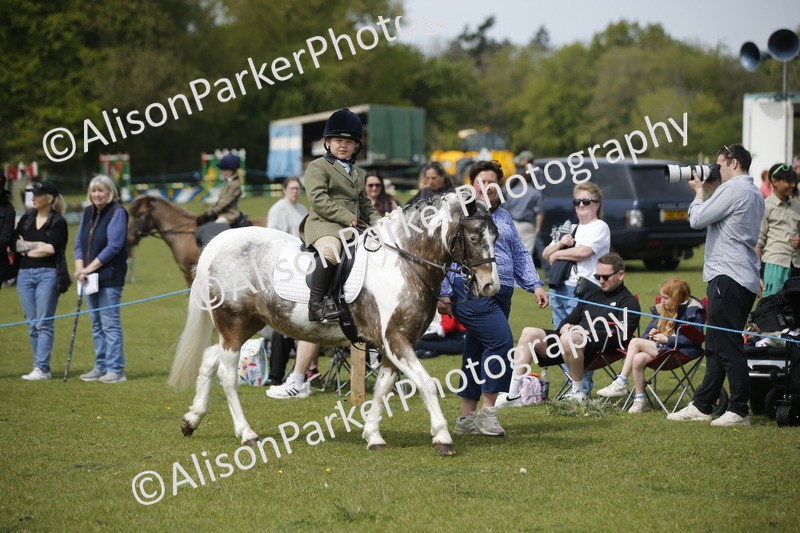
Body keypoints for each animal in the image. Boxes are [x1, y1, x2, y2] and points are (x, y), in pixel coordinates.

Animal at [167, 192, 500, 455]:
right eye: (473, 238)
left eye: (496, 237)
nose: (489, 286)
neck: (404, 262)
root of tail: (219, 243)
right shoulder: (396, 339)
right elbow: (427, 383)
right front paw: (442, 437)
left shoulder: (393, 343)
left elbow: (383, 388)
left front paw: (373, 436)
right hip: (233, 324)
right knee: (227, 375)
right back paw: (246, 434)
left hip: (246, 325)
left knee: (210, 358)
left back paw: (191, 419)